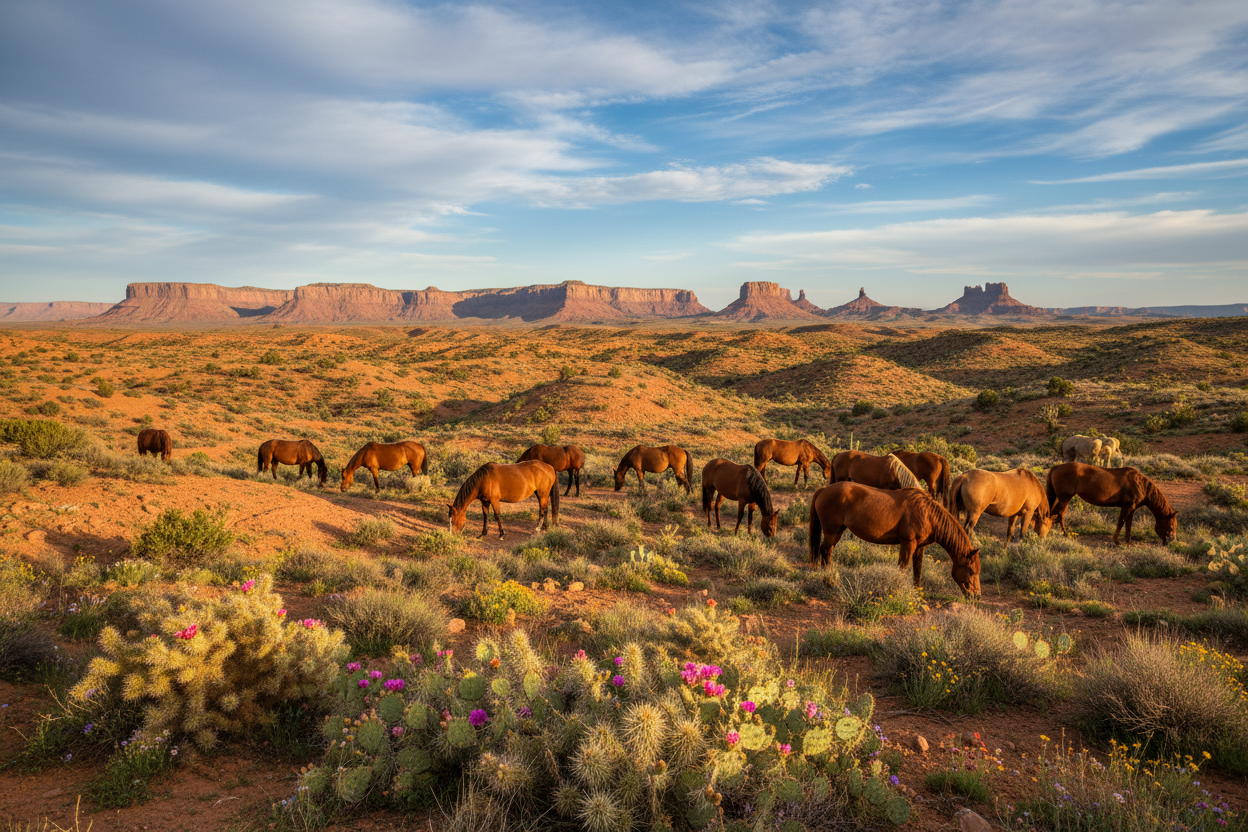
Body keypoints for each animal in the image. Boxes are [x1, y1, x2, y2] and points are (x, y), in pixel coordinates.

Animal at [809, 481, 981, 598]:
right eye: (971, 571)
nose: (976, 596)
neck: (928, 515)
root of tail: (824, 490)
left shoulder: (919, 547)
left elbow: (917, 569)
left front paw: (917, 592)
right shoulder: (908, 544)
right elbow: (903, 568)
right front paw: (897, 589)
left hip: (837, 531)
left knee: (826, 550)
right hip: (832, 531)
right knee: (825, 550)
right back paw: (830, 577)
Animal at [1046, 462, 1177, 545]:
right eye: (1171, 527)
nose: (1171, 541)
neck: (1141, 485)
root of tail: (1056, 467)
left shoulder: (1132, 508)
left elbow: (1128, 524)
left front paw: (1128, 542)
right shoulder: (1126, 507)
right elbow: (1121, 522)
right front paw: (1116, 541)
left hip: (1064, 499)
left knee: (1059, 514)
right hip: (1064, 498)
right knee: (1056, 514)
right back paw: (1062, 534)